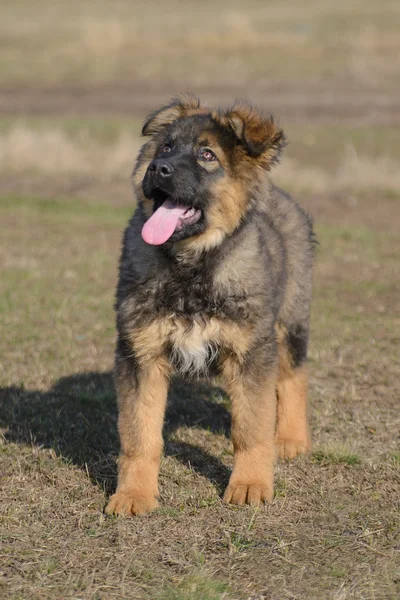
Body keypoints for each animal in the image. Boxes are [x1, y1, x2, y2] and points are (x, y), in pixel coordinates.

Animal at [106, 94, 316, 516]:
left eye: (207, 155)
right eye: (165, 147)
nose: (158, 169)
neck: (192, 265)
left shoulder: (252, 351)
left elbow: (250, 428)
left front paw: (250, 485)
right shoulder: (140, 352)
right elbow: (139, 434)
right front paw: (134, 494)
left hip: (289, 320)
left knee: (293, 377)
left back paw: (290, 438)